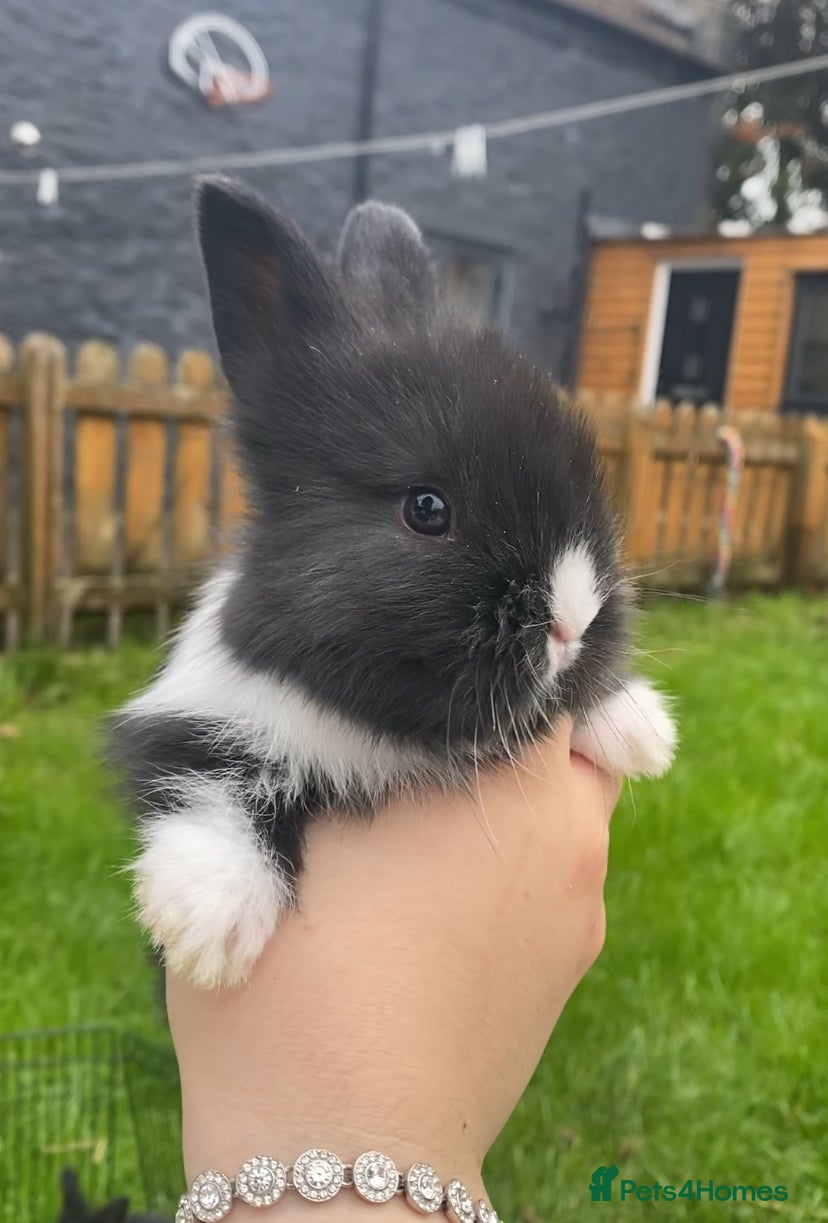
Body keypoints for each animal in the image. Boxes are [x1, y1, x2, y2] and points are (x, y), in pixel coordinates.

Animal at [110, 178, 676, 991]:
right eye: (426, 508)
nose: (572, 622)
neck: (386, 732)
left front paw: (641, 729)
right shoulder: (193, 719)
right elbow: (207, 779)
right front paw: (207, 925)